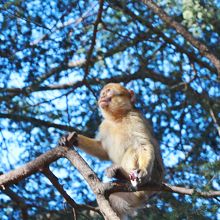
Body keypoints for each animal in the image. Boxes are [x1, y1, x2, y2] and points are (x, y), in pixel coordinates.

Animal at [59, 83, 164, 220]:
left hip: (155, 175)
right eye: (102, 93)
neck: (117, 118)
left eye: (108, 91)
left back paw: (122, 173)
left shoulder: (135, 118)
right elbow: (102, 150)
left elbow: (142, 145)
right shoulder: (104, 125)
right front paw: (72, 138)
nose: (102, 96)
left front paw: (143, 171)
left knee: (134, 149)